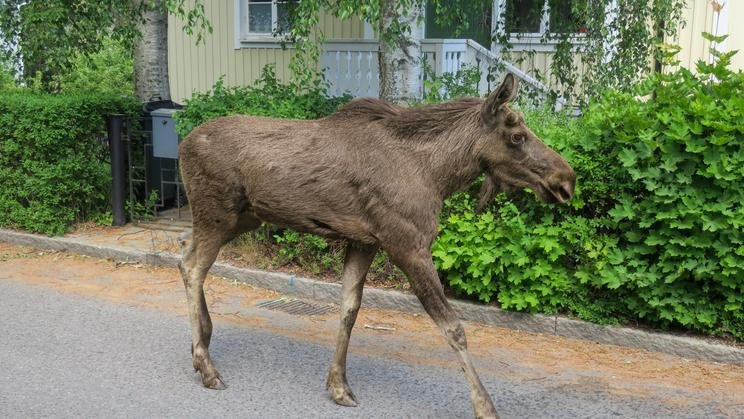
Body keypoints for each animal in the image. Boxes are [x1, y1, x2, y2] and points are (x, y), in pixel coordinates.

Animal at [177, 74, 575, 418]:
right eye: (517, 135)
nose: (566, 179)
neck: (438, 175)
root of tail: (182, 144)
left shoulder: (364, 241)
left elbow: (349, 310)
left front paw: (339, 385)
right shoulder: (408, 246)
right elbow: (453, 328)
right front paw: (485, 406)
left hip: (242, 218)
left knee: (184, 257)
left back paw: (202, 345)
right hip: (217, 215)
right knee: (194, 268)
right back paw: (206, 365)